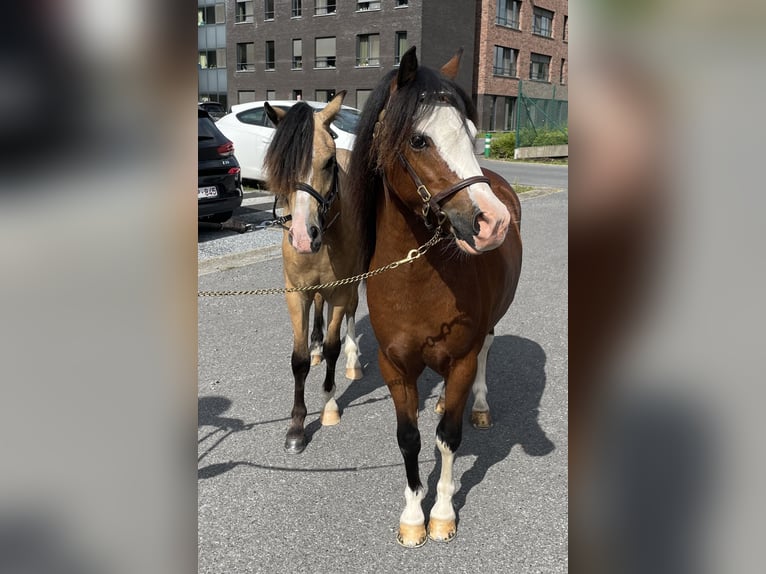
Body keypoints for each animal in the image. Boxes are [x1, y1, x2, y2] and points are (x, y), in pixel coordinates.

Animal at [266, 91, 364, 460]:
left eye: (328, 162)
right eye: (282, 165)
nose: (304, 237)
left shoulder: (340, 289)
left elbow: (336, 342)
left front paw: (330, 404)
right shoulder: (296, 293)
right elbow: (299, 360)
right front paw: (296, 428)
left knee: (352, 312)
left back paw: (353, 360)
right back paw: (318, 344)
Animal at [350, 47, 524, 548]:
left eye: (471, 134)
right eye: (419, 140)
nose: (493, 223)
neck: (417, 280)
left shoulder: (461, 358)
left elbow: (447, 436)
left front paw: (443, 514)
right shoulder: (395, 366)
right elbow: (409, 438)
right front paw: (413, 517)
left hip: (485, 331)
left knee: (486, 350)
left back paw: (479, 407)